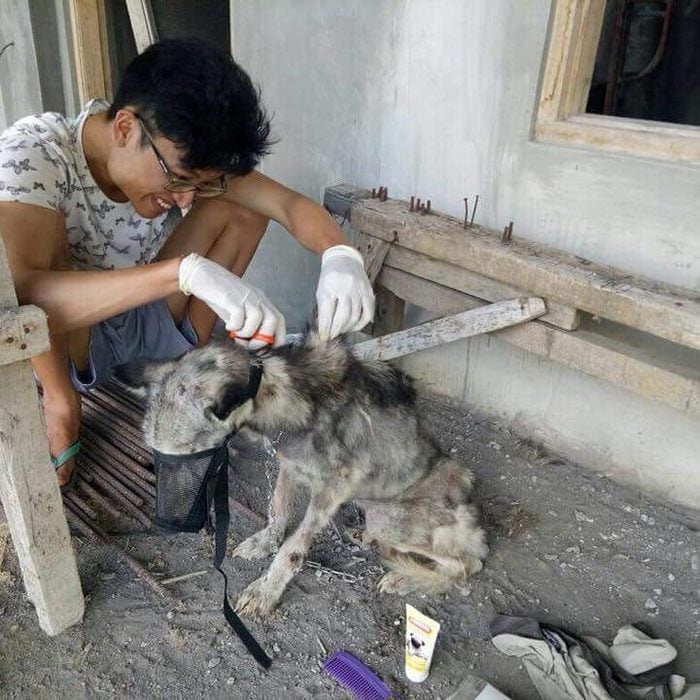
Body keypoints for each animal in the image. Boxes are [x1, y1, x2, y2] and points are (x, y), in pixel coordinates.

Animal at [130, 334, 486, 616]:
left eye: (193, 456)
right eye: (155, 455)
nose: (167, 525)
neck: (291, 398)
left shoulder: (332, 490)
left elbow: (293, 546)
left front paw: (266, 589)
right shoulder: (288, 465)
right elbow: (278, 510)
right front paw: (265, 542)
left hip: (390, 518)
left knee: (469, 564)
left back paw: (404, 577)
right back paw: (365, 538)